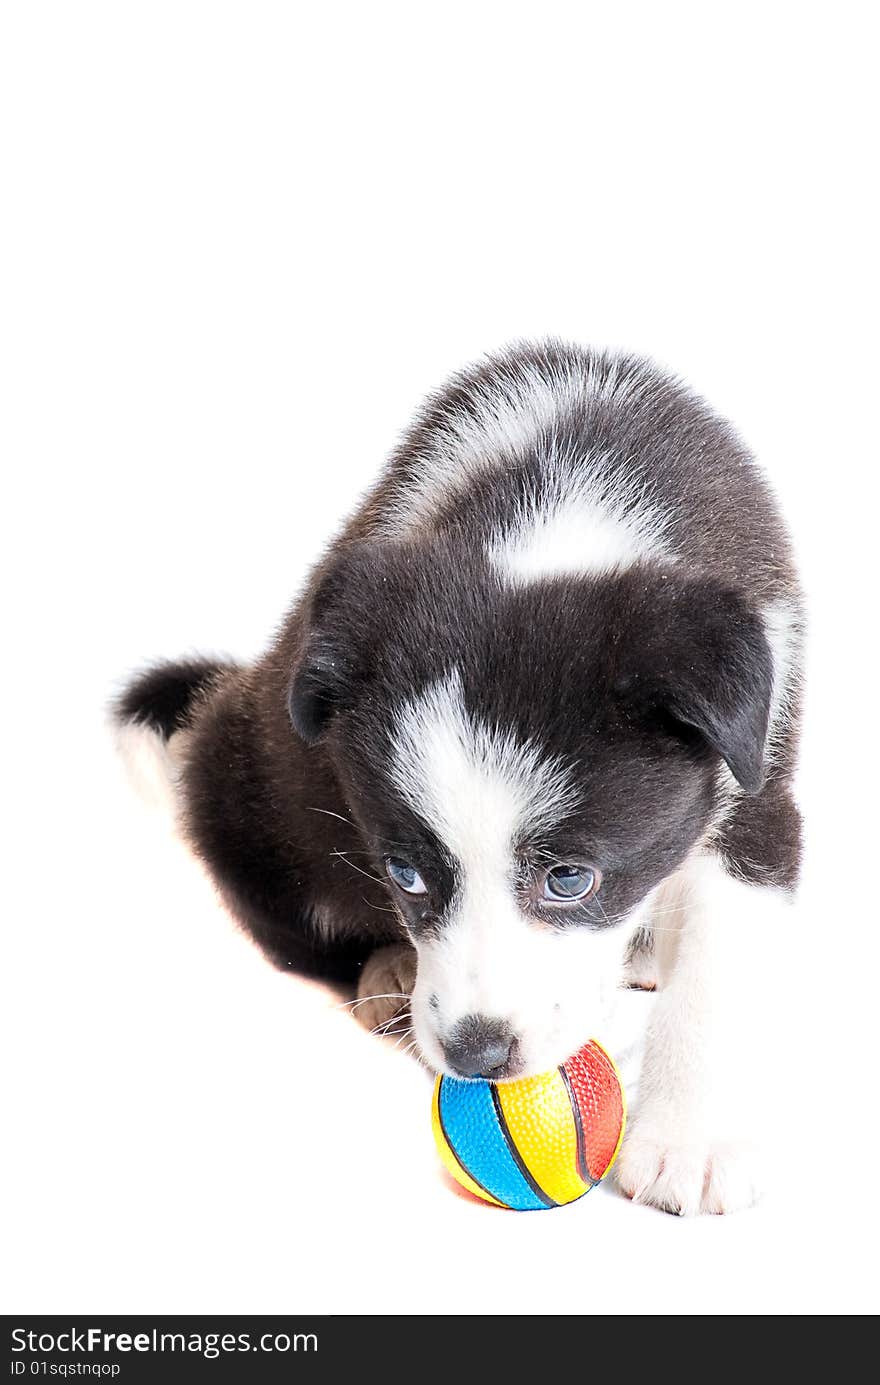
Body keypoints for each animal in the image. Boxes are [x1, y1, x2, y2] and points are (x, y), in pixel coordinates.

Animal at [118, 343, 803, 1213]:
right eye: (404, 874)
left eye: (570, 878)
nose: (477, 1055)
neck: (562, 509)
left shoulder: (759, 770)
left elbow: (721, 950)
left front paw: (693, 1140)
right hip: (256, 793)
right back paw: (387, 971)